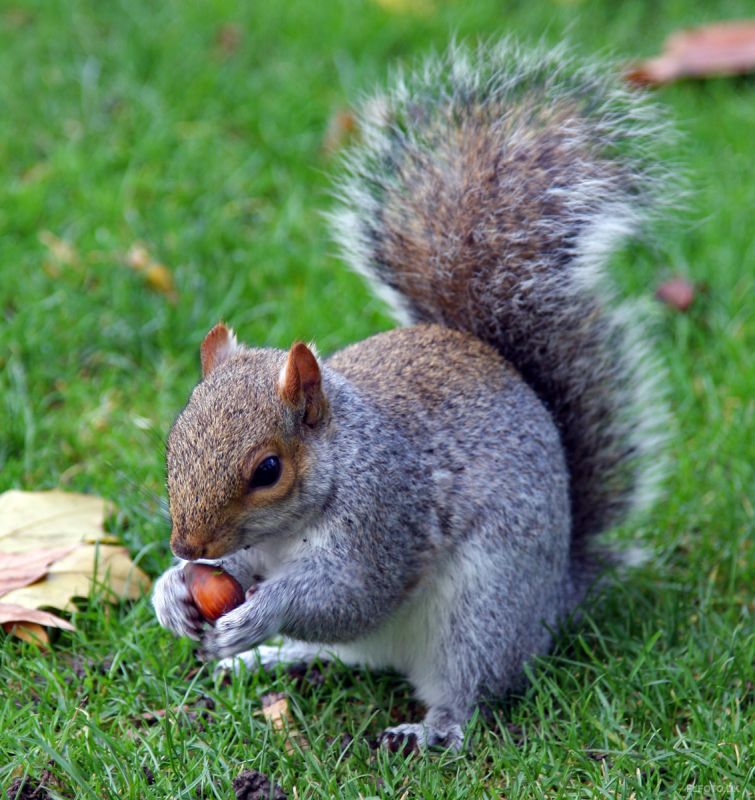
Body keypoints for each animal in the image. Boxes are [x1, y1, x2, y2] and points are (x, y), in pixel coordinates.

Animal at [151, 39, 672, 752]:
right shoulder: (256, 550)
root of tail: (554, 595)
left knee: (466, 688)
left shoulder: (386, 514)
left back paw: (427, 730)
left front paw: (262, 615)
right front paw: (173, 592)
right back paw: (275, 658)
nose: (187, 546)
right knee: (345, 653)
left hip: (482, 610)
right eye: (174, 443)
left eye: (268, 470)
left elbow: (353, 595)